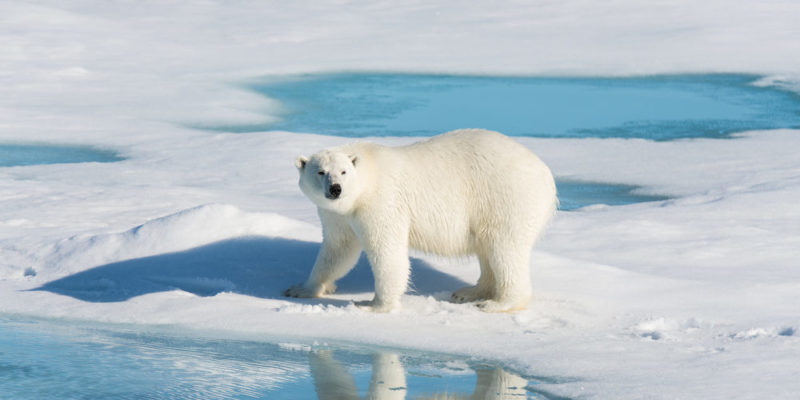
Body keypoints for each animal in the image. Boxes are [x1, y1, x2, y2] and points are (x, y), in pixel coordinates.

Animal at [286, 130, 556, 310]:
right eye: (320, 172)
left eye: (343, 171)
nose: (336, 189)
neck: (368, 175)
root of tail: (545, 174)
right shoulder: (339, 214)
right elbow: (338, 250)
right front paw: (301, 289)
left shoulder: (380, 201)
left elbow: (387, 250)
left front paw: (374, 304)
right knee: (487, 249)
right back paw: (468, 292)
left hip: (505, 197)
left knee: (504, 248)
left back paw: (497, 303)